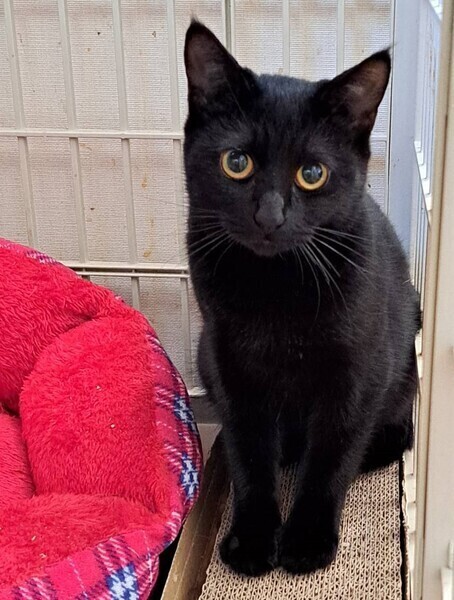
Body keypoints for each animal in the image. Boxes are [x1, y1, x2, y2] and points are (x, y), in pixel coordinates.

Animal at [183, 21, 420, 577]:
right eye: (236, 163)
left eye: (312, 173)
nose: (269, 216)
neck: (277, 289)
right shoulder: (230, 366)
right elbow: (248, 452)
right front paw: (252, 538)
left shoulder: (356, 375)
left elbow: (330, 458)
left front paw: (307, 539)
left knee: (394, 431)